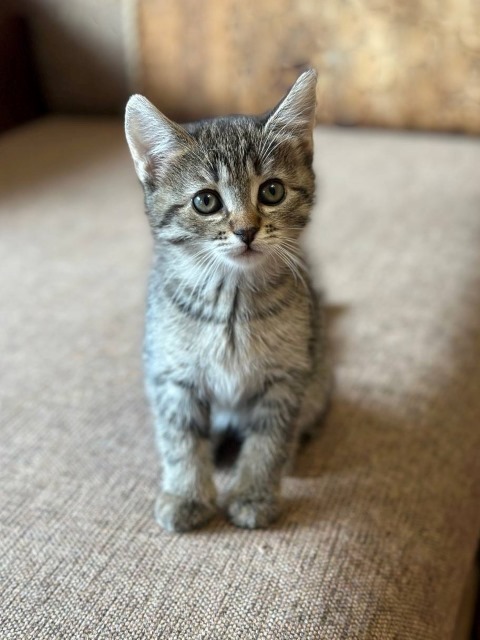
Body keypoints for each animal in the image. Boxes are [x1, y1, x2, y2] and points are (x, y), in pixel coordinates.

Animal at [125, 69, 331, 532]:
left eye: (271, 191)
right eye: (206, 201)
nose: (246, 230)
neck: (232, 302)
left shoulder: (287, 378)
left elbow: (267, 443)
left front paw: (253, 494)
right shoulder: (171, 374)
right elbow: (181, 440)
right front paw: (186, 495)